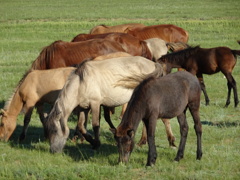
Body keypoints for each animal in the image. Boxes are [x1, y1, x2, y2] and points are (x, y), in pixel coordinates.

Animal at [44, 56, 172, 153]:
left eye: (54, 131)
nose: (53, 150)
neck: (82, 82)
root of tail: (154, 64)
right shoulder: (83, 108)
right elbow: (81, 126)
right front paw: (91, 141)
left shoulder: (95, 104)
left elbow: (95, 125)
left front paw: (97, 143)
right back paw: (142, 142)